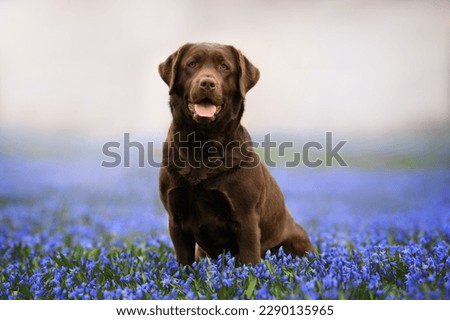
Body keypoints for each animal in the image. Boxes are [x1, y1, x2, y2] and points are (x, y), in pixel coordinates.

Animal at [158, 42, 312, 264]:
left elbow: (250, 260)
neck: (202, 145)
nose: (207, 83)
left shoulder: (245, 218)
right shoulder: (176, 219)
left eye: (224, 67)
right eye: (192, 64)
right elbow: (184, 263)